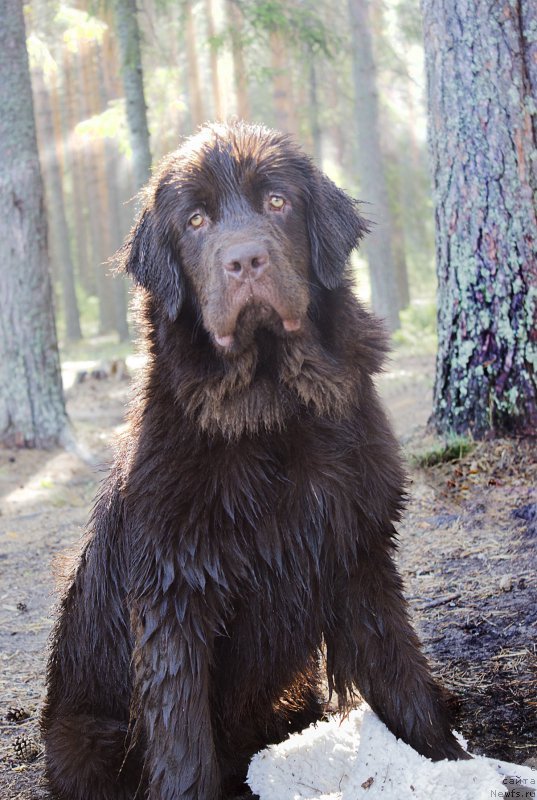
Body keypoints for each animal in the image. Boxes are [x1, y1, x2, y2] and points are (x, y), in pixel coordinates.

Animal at [42, 123, 466, 800]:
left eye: (276, 202)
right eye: (194, 220)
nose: (244, 260)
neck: (268, 410)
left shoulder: (357, 551)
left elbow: (401, 675)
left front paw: (450, 762)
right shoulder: (174, 596)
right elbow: (182, 740)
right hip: (83, 741)